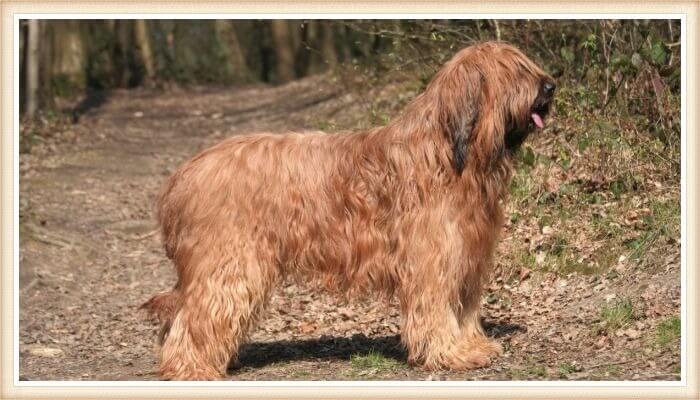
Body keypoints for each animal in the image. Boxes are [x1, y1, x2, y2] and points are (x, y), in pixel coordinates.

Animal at [144, 41, 556, 382]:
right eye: (515, 71)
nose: (551, 86)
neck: (450, 154)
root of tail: (182, 176)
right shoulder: (433, 259)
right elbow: (437, 307)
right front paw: (451, 353)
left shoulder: (468, 254)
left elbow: (465, 307)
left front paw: (472, 345)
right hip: (229, 263)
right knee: (198, 314)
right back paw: (190, 366)